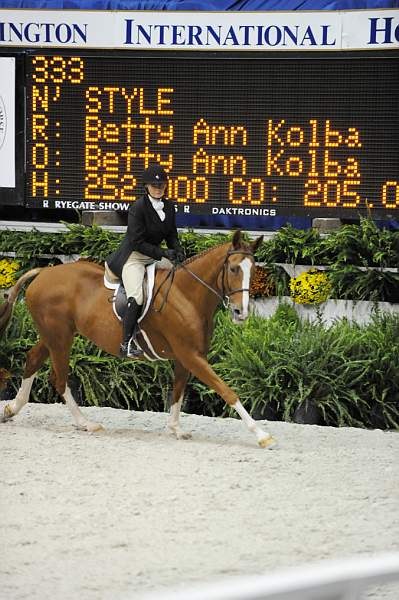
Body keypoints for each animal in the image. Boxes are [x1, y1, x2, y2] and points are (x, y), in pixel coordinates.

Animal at [0, 232, 276, 448]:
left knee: (33, 360)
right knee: (58, 379)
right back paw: (85, 423)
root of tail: (43, 273)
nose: (241, 313)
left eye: (254, 271)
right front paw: (262, 435)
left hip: (55, 335)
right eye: (233, 269)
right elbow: (227, 391)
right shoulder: (191, 356)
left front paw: (176, 428)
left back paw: (11, 409)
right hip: (60, 338)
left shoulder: (186, 357)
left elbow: (178, 391)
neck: (187, 295)